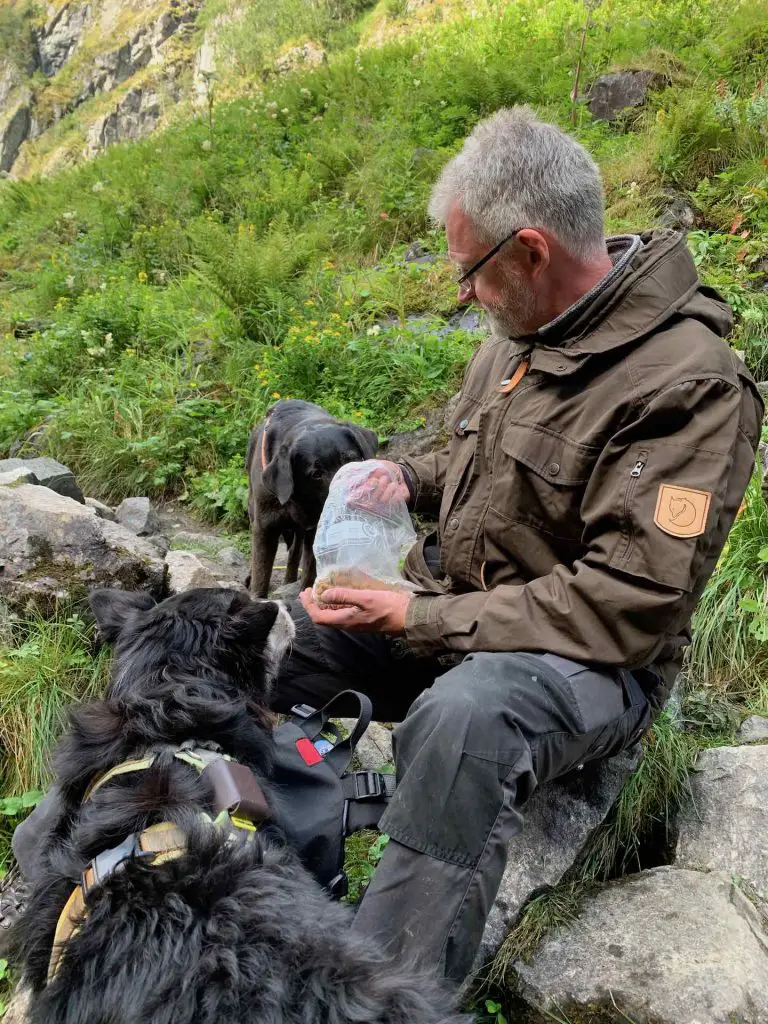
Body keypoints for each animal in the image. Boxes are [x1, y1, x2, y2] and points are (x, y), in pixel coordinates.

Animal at [247, 397, 376, 598]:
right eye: (316, 474)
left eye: (351, 460)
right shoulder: (265, 526)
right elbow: (261, 572)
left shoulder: (317, 530)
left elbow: (310, 569)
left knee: (295, 552)